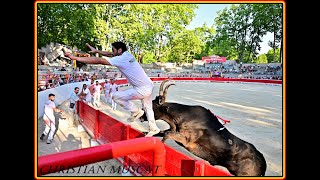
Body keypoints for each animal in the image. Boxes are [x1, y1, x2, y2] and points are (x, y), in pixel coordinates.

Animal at [140, 79, 268, 175]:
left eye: (152, 105)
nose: (141, 117)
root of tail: (262, 161)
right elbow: (161, 132)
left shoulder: (187, 140)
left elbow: (166, 134)